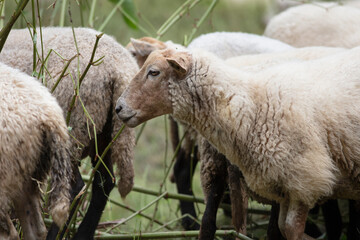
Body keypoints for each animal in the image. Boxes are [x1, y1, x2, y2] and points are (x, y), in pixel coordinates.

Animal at [116, 46, 360, 240]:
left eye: (153, 72)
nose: (119, 107)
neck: (253, 104)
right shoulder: (285, 185)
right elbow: (281, 227)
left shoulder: (306, 181)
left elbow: (289, 229)